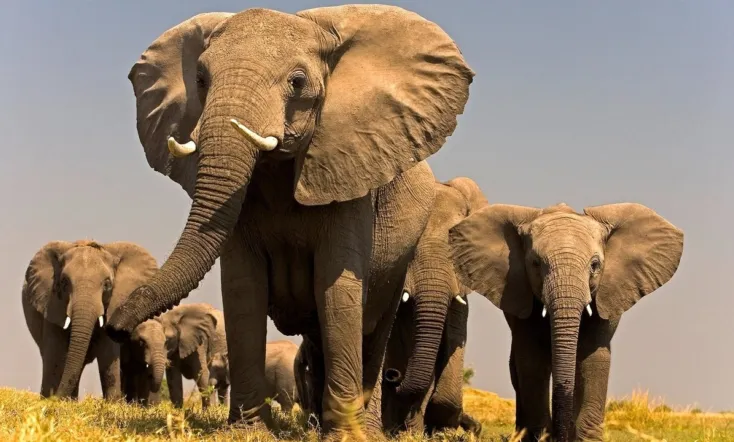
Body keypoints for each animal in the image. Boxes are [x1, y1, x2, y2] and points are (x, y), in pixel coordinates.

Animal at [21, 240, 157, 399]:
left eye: (107, 284)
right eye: (64, 282)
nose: (57, 396)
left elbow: (107, 353)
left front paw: (112, 402)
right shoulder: (51, 304)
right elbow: (55, 356)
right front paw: (50, 400)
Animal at [105, 4, 473, 439]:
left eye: (297, 83)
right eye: (200, 79)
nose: (115, 326)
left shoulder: (349, 173)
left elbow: (336, 288)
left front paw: (346, 436)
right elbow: (243, 287)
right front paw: (248, 432)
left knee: (373, 328)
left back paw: (366, 428)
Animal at [448, 202, 684, 441]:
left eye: (595, 265)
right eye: (535, 264)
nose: (559, 436)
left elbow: (593, 356)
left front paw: (587, 439)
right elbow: (532, 360)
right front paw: (542, 437)